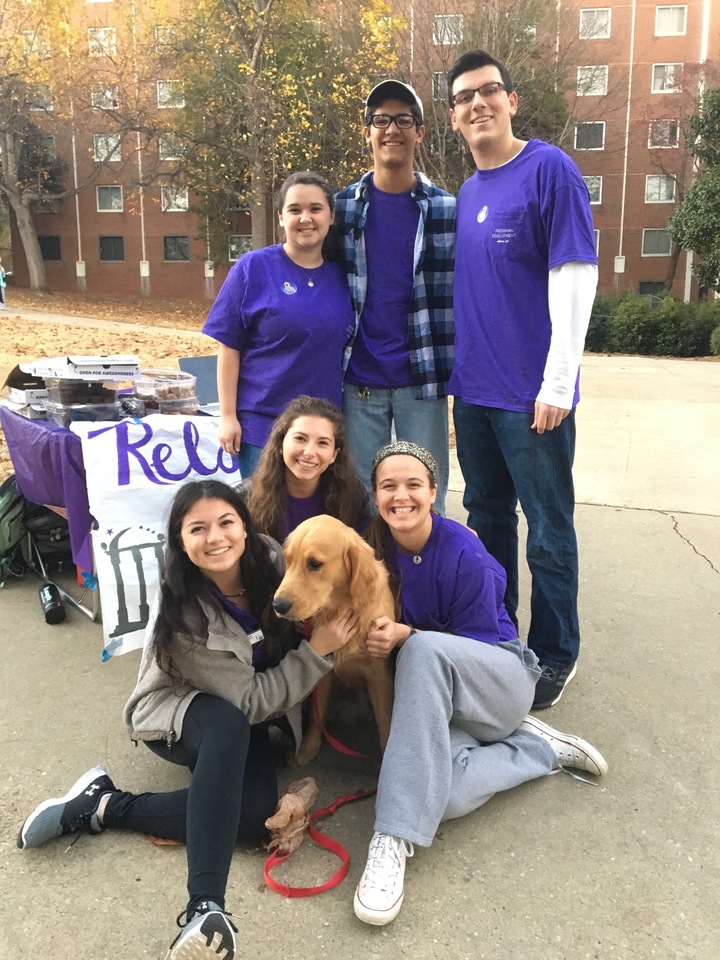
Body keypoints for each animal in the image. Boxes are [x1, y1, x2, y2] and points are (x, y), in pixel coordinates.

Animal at [272, 512, 394, 768]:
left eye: (314, 564)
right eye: (289, 561)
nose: (278, 606)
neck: (341, 609)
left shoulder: (379, 675)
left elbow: (385, 723)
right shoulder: (323, 671)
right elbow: (316, 717)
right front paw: (307, 749)